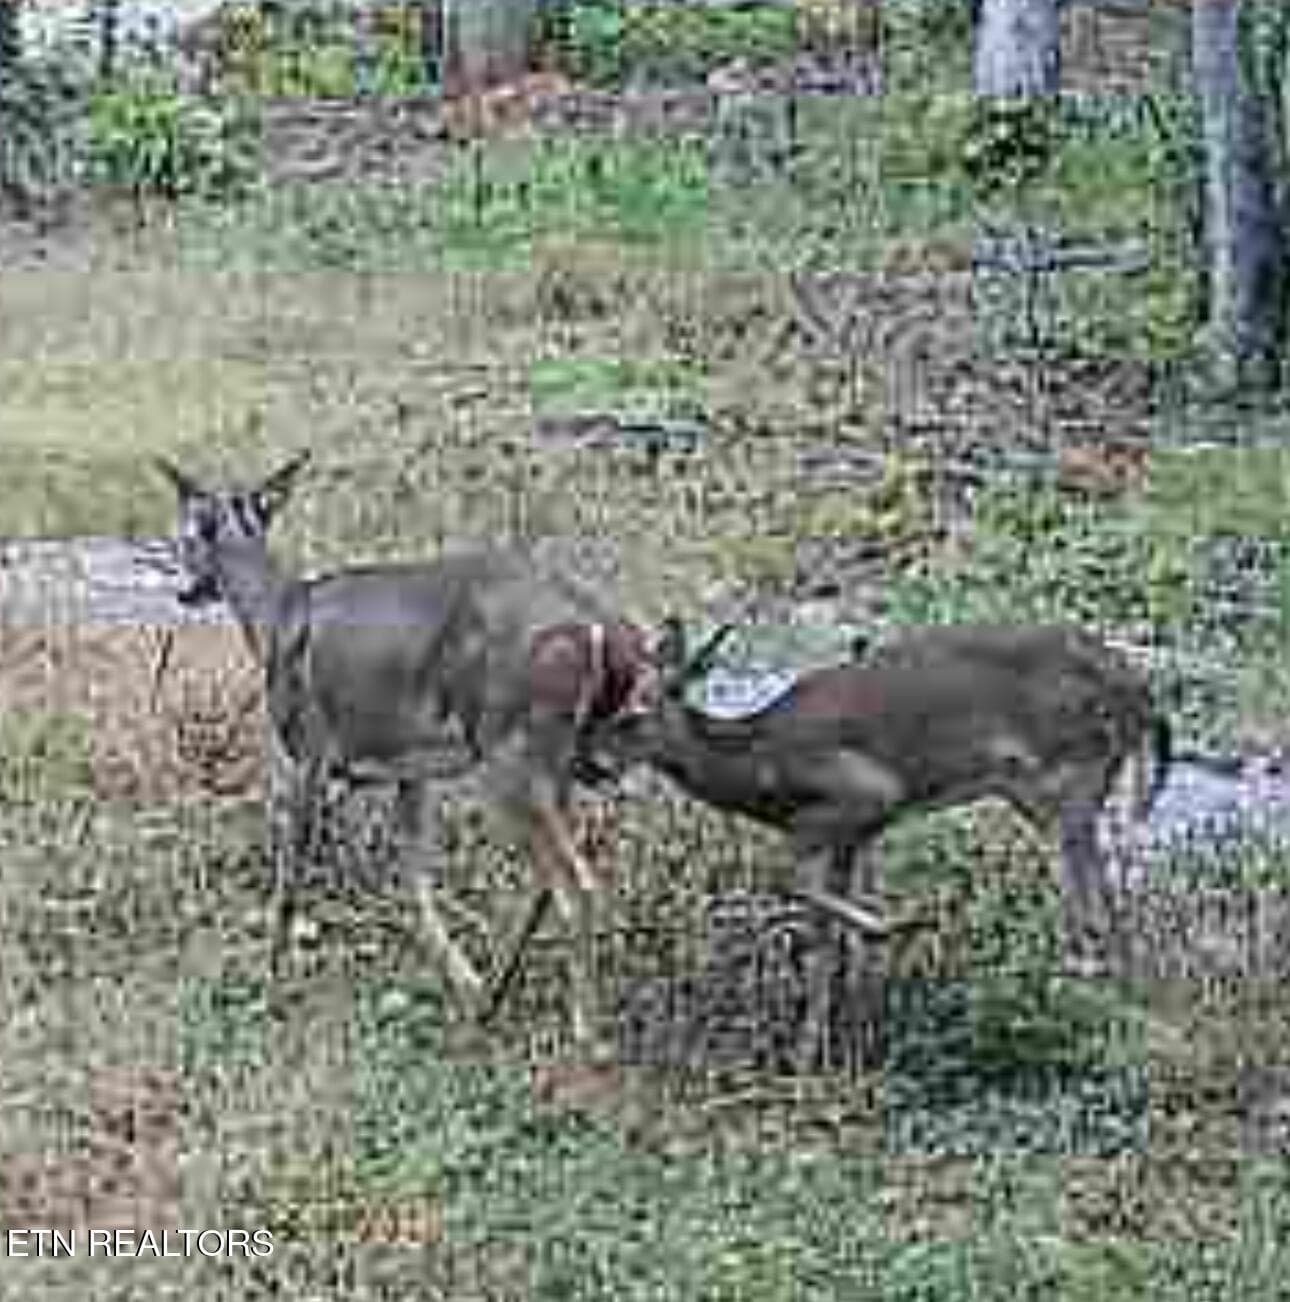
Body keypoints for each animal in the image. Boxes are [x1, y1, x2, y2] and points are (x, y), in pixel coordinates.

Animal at [154, 452, 656, 1057]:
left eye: (186, 534)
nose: (182, 583)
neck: (277, 618)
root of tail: (607, 632)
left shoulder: (311, 748)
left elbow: (292, 875)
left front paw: (269, 982)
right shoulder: (410, 770)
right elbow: (413, 883)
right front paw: (463, 980)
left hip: (507, 749)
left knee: (575, 884)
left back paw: (584, 1036)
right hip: (562, 757)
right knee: (549, 880)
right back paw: (490, 998)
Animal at [561, 615, 1173, 1070]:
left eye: (632, 716)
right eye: (600, 704)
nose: (586, 764)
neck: (763, 771)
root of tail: (1141, 696)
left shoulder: (862, 798)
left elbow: (790, 885)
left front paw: (899, 928)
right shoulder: (851, 836)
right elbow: (824, 933)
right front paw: (821, 1044)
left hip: (1065, 786)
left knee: (1099, 911)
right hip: (1060, 796)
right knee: (1103, 907)